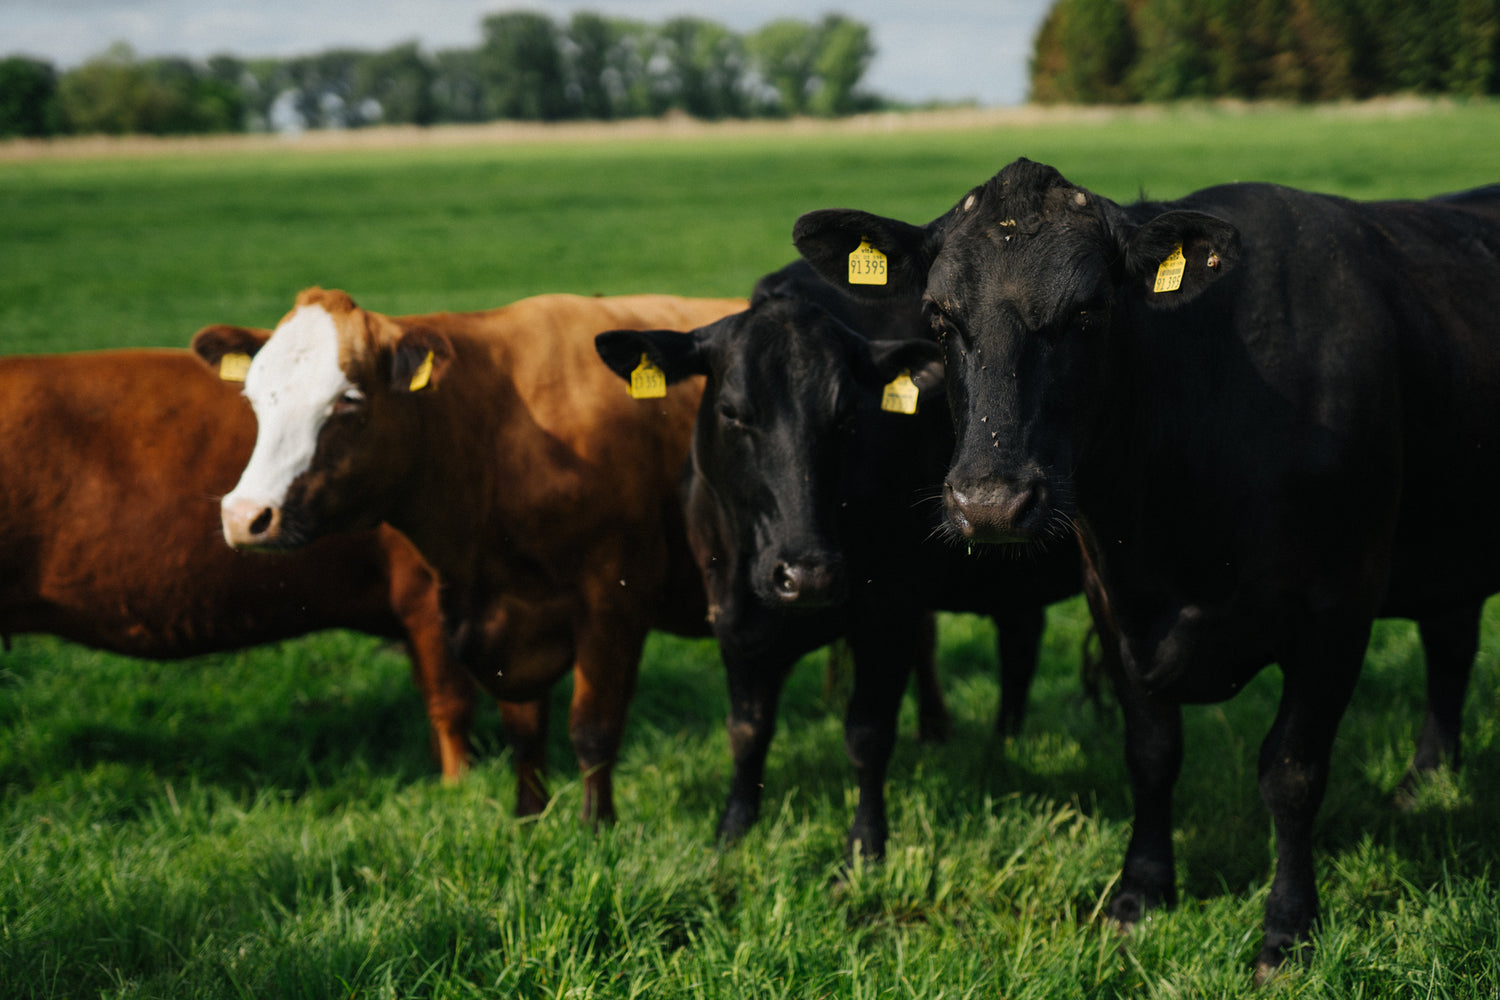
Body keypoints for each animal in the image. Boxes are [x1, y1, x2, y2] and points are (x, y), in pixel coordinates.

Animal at [190, 287, 747, 821]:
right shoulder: (507, 620)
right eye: (253, 397)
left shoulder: (616, 598)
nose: (245, 516)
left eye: (347, 399)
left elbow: (593, 730)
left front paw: (596, 827)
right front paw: (528, 820)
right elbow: (524, 733)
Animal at [594, 260, 1080, 863]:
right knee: (1020, 639)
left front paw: (865, 845)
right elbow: (747, 730)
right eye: (731, 412)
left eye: (847, 413)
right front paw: (732, 830)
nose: (808, 575)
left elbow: (867, 734)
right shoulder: (730, 613)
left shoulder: (890, 611)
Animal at [798, 160, 1500, 983]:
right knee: (1451, 641)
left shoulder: (1339, 606)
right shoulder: (1115, 599)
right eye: (939, 320)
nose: (991, 503)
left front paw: (1287, 930)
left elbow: (1291, 773)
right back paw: (1426, 784)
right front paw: (1140, 893)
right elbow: (1153, 754)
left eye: (1087, 313)